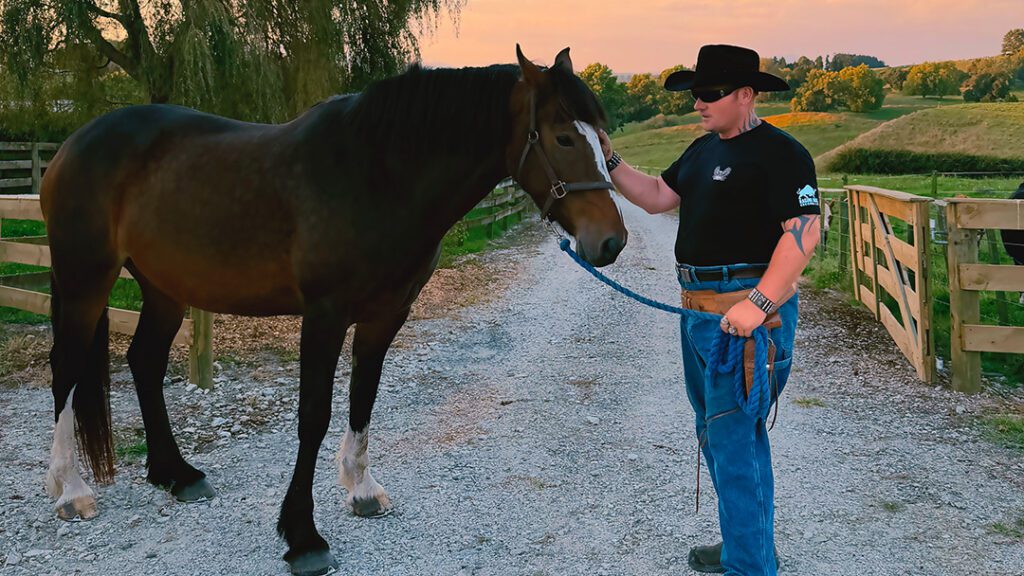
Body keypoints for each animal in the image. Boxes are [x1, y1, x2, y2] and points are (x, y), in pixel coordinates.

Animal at [40, 45, 627, 576]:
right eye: (563, 136)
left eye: (602, 138)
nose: (612, 242)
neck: (378, 173)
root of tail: (69, 146)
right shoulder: (323, 316)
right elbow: (314, 416)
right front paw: (303, 537)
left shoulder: (384, 315)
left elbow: (363, 398)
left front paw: (362, 490)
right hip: (86, 281)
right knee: (66, 371)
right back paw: (71, 491)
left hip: (163, 288)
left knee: (144, 362)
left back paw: (176, 475)